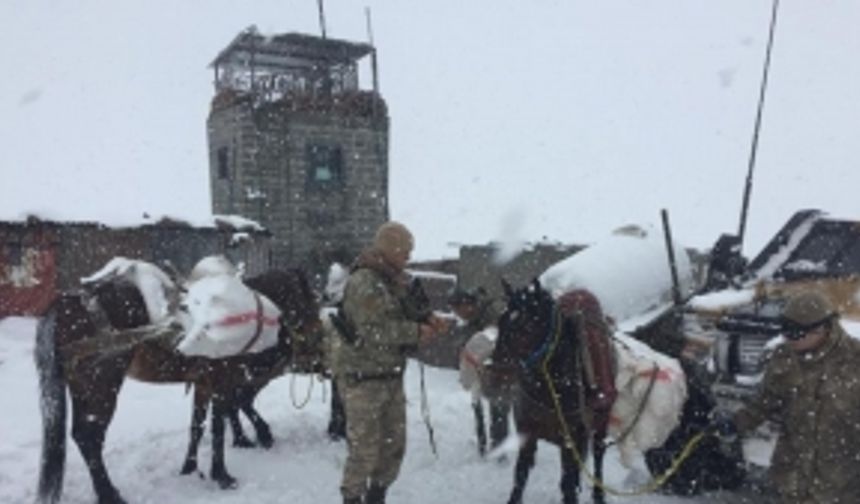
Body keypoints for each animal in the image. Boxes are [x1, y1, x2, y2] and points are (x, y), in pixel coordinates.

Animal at [33, 268, 322, 504]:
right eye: (309, 302)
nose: (318, 337)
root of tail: (64, 304)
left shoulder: (203, 384)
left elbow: (197, 426)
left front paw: (190, 468)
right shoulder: (221, 382)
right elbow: (219, 427)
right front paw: (223, 475)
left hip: (82, 388)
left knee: (81, 436)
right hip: (102, 386)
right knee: (89, 437)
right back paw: (109, 494)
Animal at [490, 280, 612, 504]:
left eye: (526, 328)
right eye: (500, 322)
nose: (495, 375)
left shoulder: (571, 440)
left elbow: (568, 486)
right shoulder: (528, 433)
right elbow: (520, 476)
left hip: (601, 421)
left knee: (598, 453)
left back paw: (599, 495)